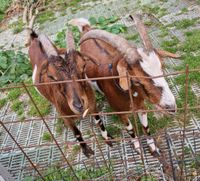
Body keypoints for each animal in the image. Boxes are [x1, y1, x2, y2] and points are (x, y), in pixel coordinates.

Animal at [69, 15, 180, 156]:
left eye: (162, 68)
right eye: (137, 80)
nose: (171, 107)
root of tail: (86, 28)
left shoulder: (141, 107)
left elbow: (146, 127)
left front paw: (154, 149)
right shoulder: (120, 112)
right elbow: (130, 129)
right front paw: (138, 148)